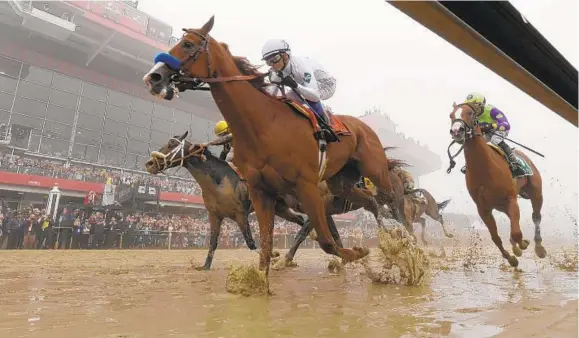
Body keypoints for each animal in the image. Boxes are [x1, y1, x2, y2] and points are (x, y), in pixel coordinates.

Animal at [142, 15, 404, 286]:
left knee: (391, 204)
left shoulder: (306, 188)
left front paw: (358, 253)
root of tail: (365, 127)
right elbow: (262, 246)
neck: (264, 125)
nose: (154, 77)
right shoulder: (258, 194)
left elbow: (324, 241)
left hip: (375, 172)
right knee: (371, 202)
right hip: (341, 183)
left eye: (188, 44)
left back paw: (403, 244)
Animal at [450, 102, 548, 266]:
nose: (457, 130)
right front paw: (512, 258)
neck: (484, 169)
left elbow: (517, 233)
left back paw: (539, 247)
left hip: (535, 193)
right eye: (451, 115)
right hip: (501, 205)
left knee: (536, 217)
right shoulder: (483, 209)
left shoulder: (511, 199)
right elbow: (495, 237)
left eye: (470, 113)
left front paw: (522, 244)